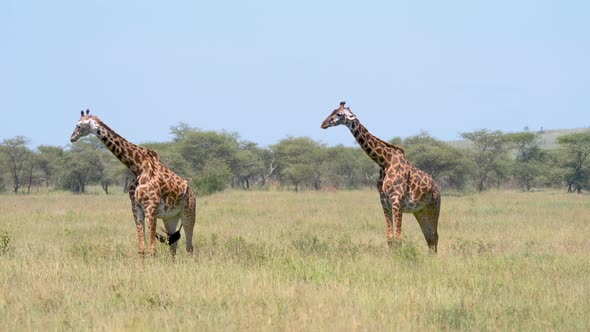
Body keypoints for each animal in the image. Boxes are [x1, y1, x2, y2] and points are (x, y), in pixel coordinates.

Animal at [69, 109, 198, 256]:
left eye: (79, 125)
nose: (72, 138)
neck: (137, 167)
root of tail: (191, 191)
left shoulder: (151, 209)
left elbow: (152, 249)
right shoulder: (136, 209)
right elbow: (141, 248)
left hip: (188, 213)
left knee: (189, 247)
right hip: (170, 217)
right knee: (173, 244)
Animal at [322, 101, 442, 252]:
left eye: (339, 114)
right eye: (332, 111)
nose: (323, 124)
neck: (384, 161)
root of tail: (437, 187)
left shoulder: (397, 202)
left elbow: (398, 238)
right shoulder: (385, 203)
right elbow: (390, 238)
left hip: (433, 207)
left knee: (435, 236)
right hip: (420, 211)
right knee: (429, 237)